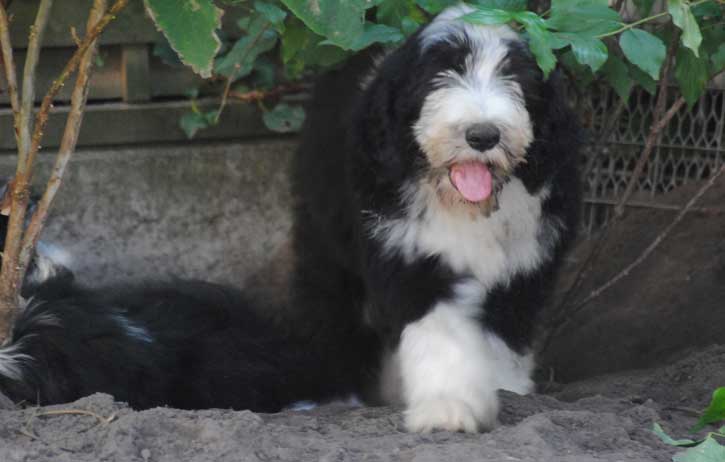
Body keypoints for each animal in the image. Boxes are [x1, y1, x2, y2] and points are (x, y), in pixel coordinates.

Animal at [0, 4, 576, 434]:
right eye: (442, 73)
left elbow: (504, 329)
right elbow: (438, 324)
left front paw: (499, 390)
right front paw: (450, 407)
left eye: (516, 78)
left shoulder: (526, 258)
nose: (482, 134)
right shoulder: (405, 248)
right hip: (329, 237)